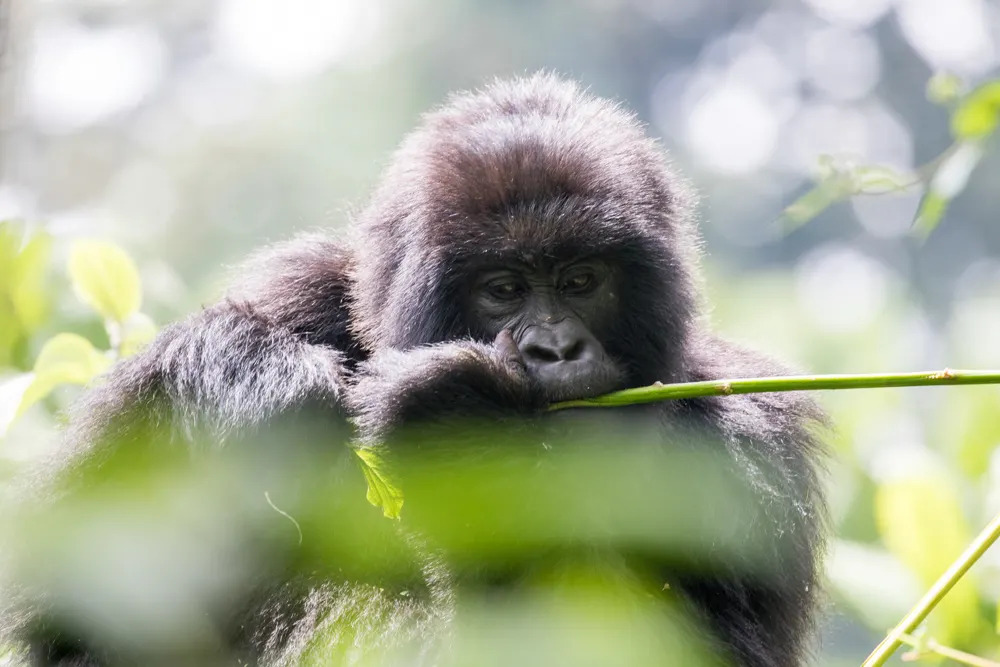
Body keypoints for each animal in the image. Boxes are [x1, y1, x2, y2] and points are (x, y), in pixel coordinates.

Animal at [3, 75, 824, 664]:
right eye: (504, 289)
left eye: (583, 279)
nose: (555, 352)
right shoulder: (302, 291)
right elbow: (76, 618)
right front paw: (241, 366)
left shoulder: (751, 432)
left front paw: (477, 449)